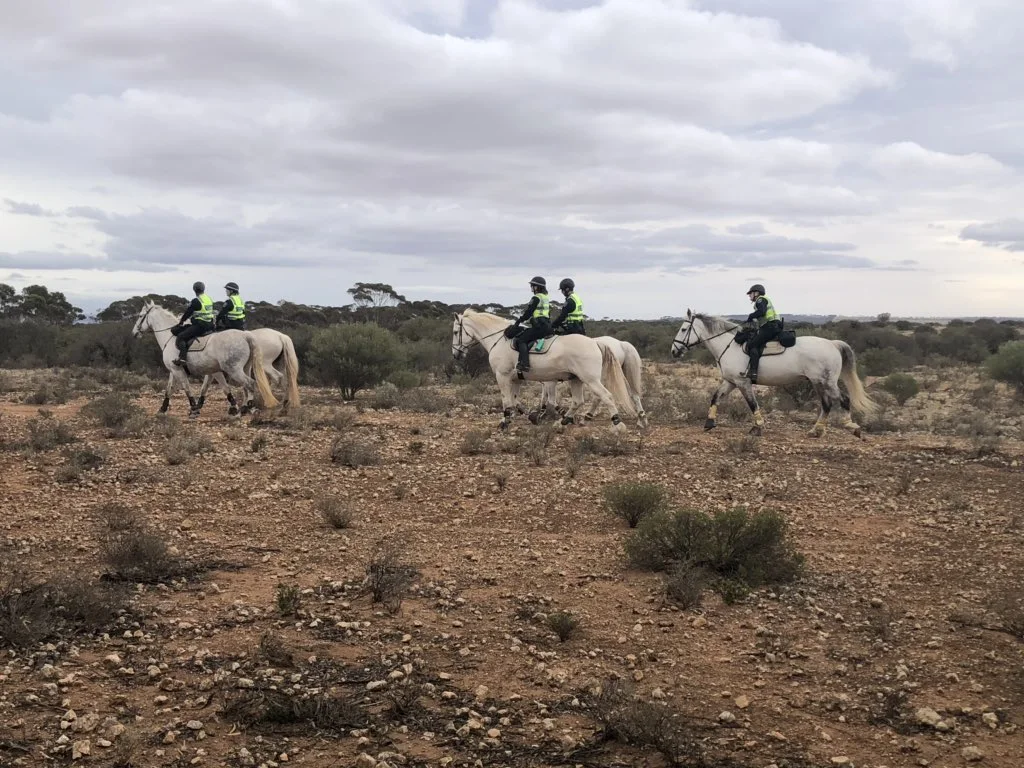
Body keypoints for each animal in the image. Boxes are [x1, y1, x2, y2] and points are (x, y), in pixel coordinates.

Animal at [131, 303, 280, 421]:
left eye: (140, 316)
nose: (134, 333)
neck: (170, 337)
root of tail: (245, 335)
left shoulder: (178, 370)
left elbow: (187, 389)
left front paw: (194, 410)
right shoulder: (176, 371)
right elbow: (169, 389)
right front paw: (162, 409)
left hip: (234, 370)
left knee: (250, 384)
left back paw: (247, 409)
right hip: (244, 368)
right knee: (247, 386)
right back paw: (245, 408)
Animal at [452, 313, 634, 434]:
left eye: (455, 332)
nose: (456, 355)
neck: (500, 339)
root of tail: (595, 343)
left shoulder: (502, 376)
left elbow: (506, 401)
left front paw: (505, 423)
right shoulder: (516, 379)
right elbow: (515, 401)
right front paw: (528, 416)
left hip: (591, 379)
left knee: (606, 396)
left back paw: (617, 424)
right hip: (576, 379)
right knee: (578, 401)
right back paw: (563, 421)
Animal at [667, 309, 876, 438]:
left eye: (684, 329)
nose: (674, 351)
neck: (729, 346)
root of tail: (832, 343)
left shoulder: (742, 382)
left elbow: (752, 404)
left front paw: (757, 427)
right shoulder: (730, 381)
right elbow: (715, 398)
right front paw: (709, 423)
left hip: (826, 382)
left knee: (843, 399)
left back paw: (851, 427)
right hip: (817, 382)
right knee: (827, 404)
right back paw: (816, 431)